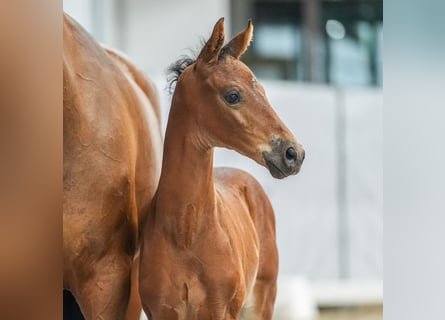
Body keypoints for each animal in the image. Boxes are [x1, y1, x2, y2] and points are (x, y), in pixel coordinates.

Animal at [140, 18, 304, 320]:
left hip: (261, 301)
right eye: (233, 95)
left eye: (263, 92)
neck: (186, 233)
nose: (294, 153)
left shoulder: (219, 311)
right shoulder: (161, 311)